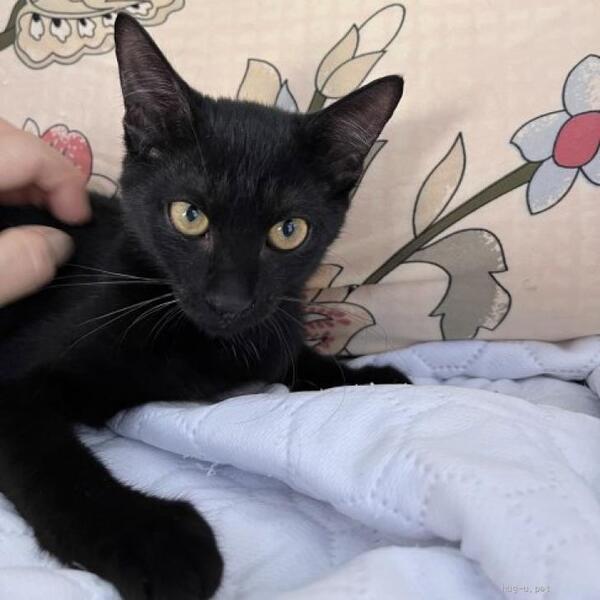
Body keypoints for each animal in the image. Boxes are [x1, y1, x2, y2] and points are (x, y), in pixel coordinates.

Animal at [0, 13, 408, 600]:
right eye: (189, 216)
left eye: (289, 231)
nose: (228, 300)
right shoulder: (13, 382)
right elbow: (55, 467)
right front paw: (157, 542)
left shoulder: (273, 325)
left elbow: (289, 353)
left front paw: (365, 374)